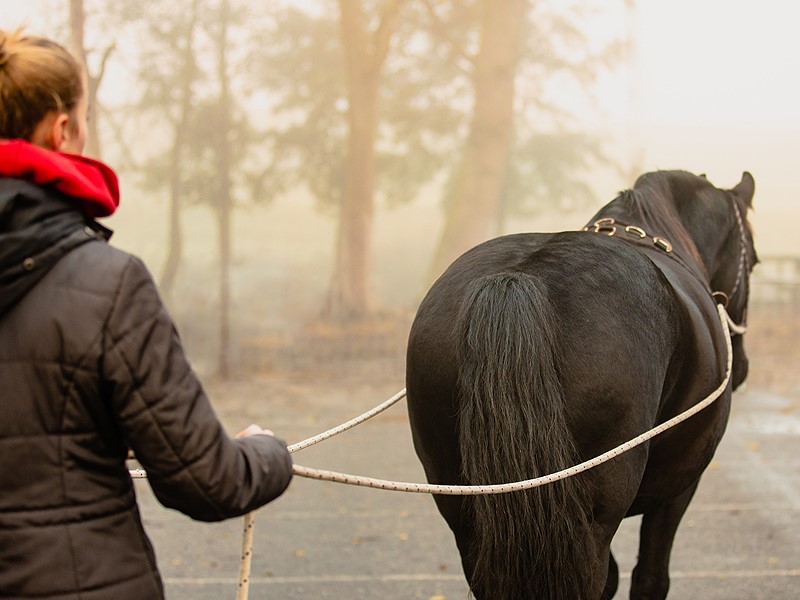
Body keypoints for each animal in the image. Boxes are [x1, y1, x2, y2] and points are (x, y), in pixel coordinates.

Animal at [406, 170, 756, 600]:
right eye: (755, 259)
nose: (742, 366)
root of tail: (518, 278)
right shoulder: (677, 488)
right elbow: (649, 577)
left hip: (470, 516)